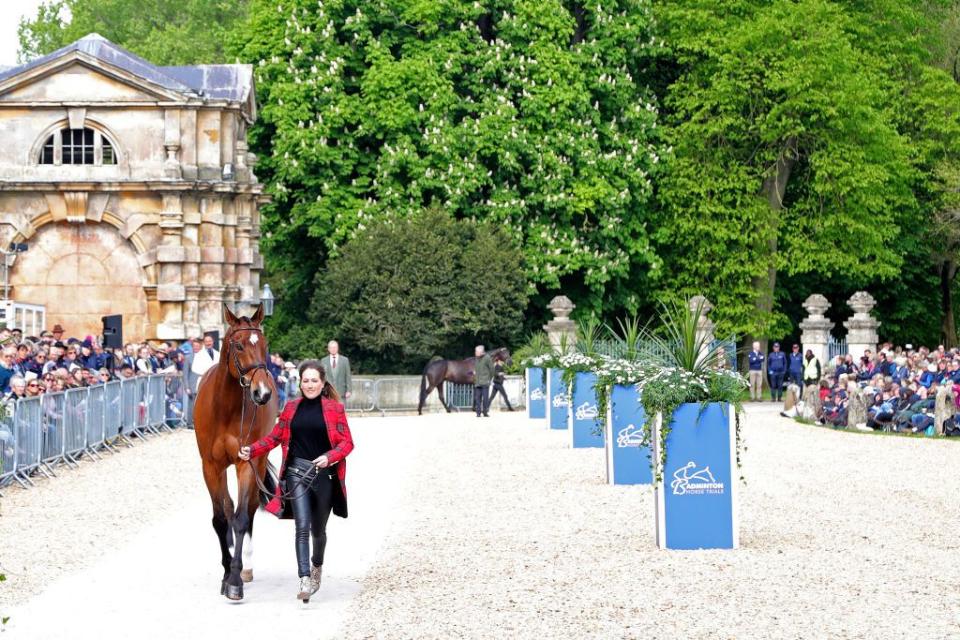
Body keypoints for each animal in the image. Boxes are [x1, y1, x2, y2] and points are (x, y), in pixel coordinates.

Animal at [190, 304, 274, 600]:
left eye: (264, 344)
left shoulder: (245, 462)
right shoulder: (211, 466)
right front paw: (227, 572)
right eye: (238, 345)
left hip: (258, 462)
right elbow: (220, 518)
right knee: (227, 508)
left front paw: (235, 578)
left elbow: (240, 518)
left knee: (248, 509)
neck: (225, 408)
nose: (262, 392)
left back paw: (246, 566)